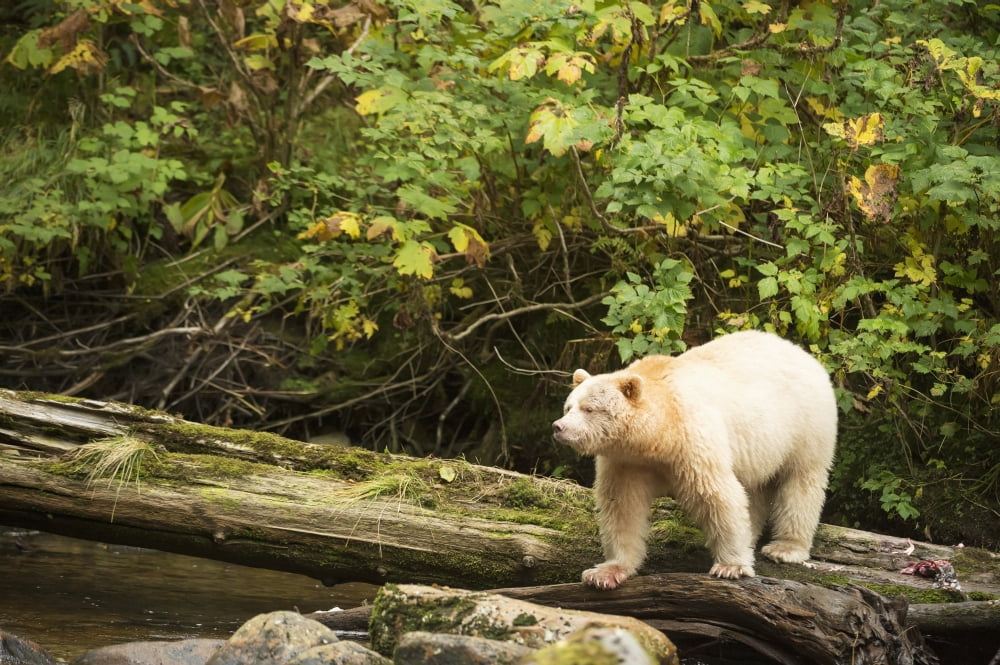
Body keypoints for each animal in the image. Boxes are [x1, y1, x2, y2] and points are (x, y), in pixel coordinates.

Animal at [551, 330, 837, 589]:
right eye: (568, 407)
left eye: (589, 409)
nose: (558, 427)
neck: (656, 437)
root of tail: (801, 352)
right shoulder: (626, 461)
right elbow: (622, 505)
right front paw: (606, 572)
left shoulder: (691, 440)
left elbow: (716, 495)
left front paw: (730, 566)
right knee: (753, 488)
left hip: (806, 425)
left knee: (801, 482)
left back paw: (786, 547)